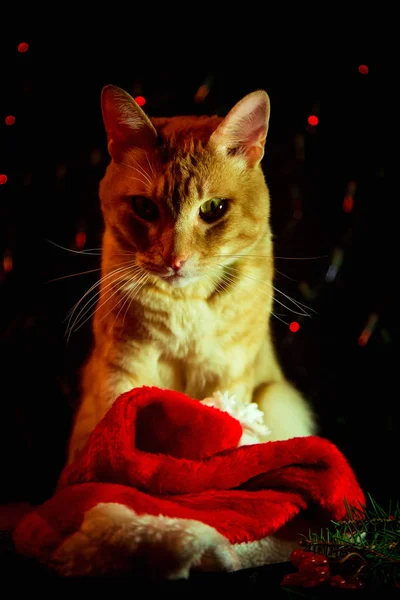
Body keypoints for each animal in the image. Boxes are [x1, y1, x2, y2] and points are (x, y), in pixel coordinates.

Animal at [66, 84, 316, 462]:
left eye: (213, 208)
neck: (185, 302)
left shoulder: (227, 373)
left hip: (277, 398)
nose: (176, 259)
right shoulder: (122, 366)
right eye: (144, 207)